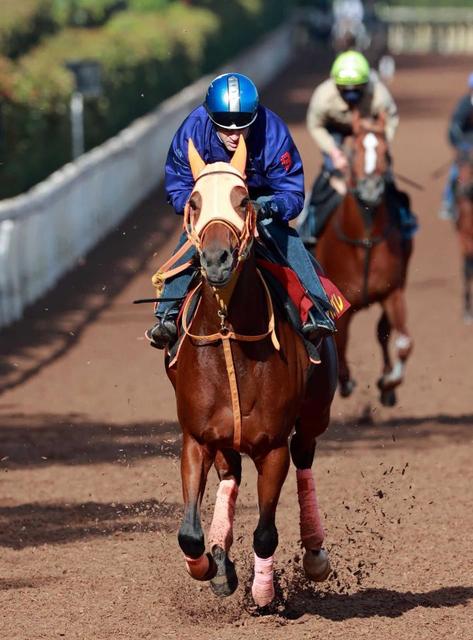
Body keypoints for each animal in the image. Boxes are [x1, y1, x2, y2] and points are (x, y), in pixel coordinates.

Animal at [163, 136, 338, 607]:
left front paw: (263, 593)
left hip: (316, 413)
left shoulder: (271, 446)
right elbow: (188, 534)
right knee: (231, 475)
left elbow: (265, 533)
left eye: (243, 200)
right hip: (225, 440)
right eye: (194, 202)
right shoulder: (197, 437)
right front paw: (213, 566)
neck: (230, 335)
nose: (216, 259)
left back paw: (315, 555)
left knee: (305, 455)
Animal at [314, 111, 413, 406]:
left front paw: (389, 382)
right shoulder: (341, 300)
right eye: (354, 150)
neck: (365, 240)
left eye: (385, 151)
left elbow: (404, 342)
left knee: (383, 332)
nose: (370, 189)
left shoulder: (393, 291)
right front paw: (345, 382)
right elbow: (340, 341)